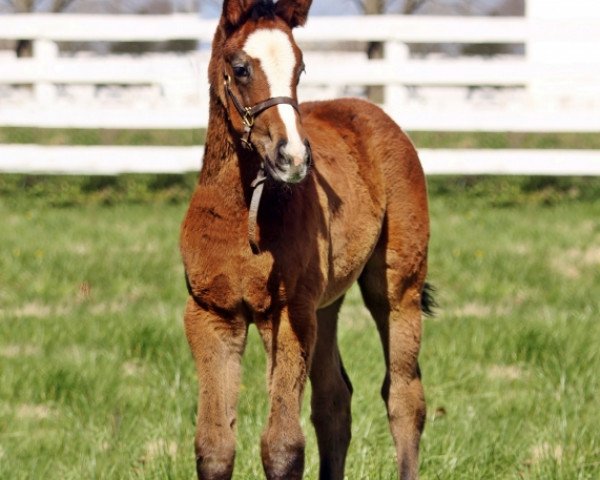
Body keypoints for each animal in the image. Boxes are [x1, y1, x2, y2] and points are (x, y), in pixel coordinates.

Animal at [178, 0, 432, 480]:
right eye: (240, 68)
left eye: (300, 67)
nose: (293, 157)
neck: (244, 216)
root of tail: (375, 111)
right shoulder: (211, 313)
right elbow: (214, 447)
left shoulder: (287, 312)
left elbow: (282, 447)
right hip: (325, 303)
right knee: (334, 399)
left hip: (396, 287)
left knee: (404, 396)